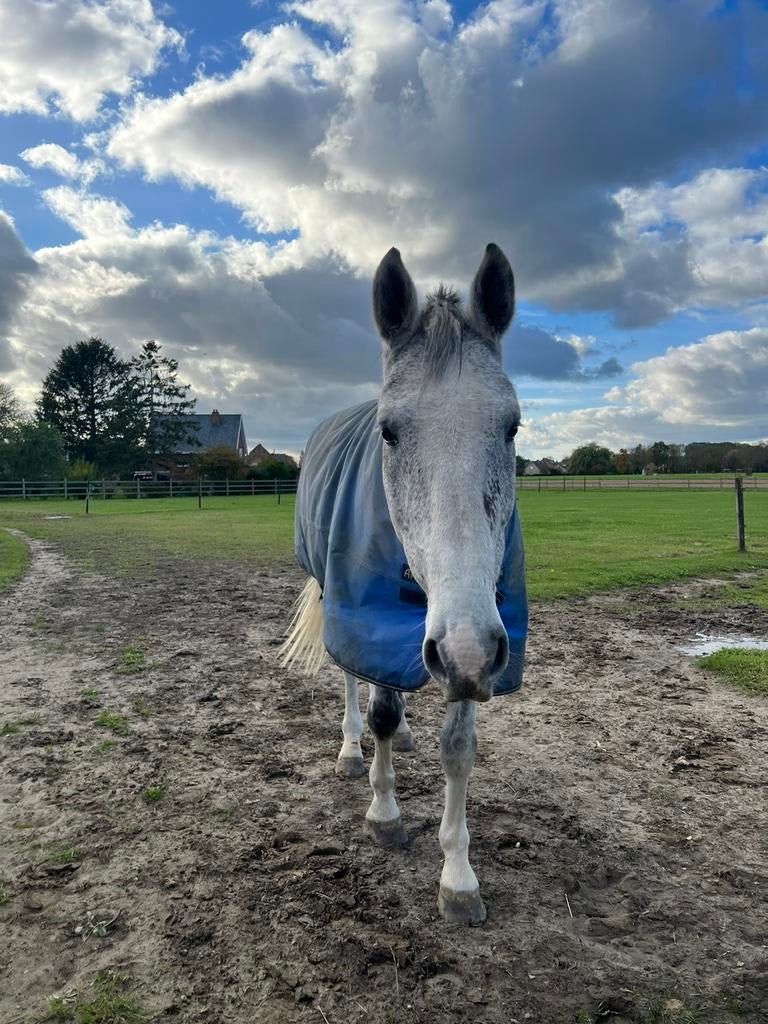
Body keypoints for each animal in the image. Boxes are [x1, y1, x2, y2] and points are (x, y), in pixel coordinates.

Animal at [281, 243, 527, 925]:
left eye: (512, 427)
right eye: (389, 431)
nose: (466, 649)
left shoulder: (473, 633)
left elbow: (458, 745)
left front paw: (459, 877)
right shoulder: (377, 619)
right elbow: (383, 711)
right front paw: (384, 813)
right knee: (350, 680)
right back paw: (350, 750)